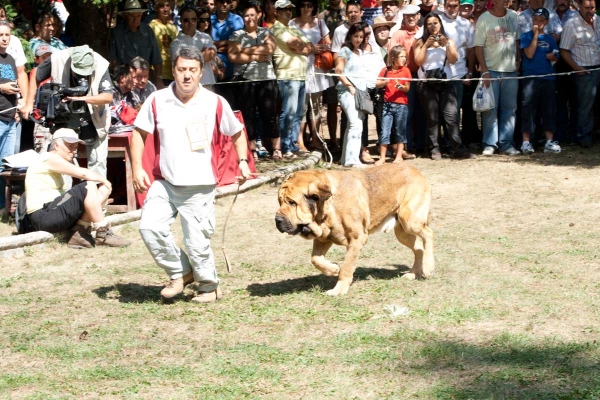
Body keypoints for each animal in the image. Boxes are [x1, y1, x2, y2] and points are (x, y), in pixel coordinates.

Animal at [274, 163, 434, 296]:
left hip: (409, 220)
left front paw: (338, 289)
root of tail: (416, 170)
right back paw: (413, 273)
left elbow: (346, 267)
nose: (277, 220)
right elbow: (315, 259)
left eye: (292, 202)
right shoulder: (323, 239)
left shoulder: (357, 239)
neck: (328, 208)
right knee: (419, 248)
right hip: (402, 232)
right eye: (279, 201)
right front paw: (333, 269)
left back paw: (428, 267)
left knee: (428, 234)